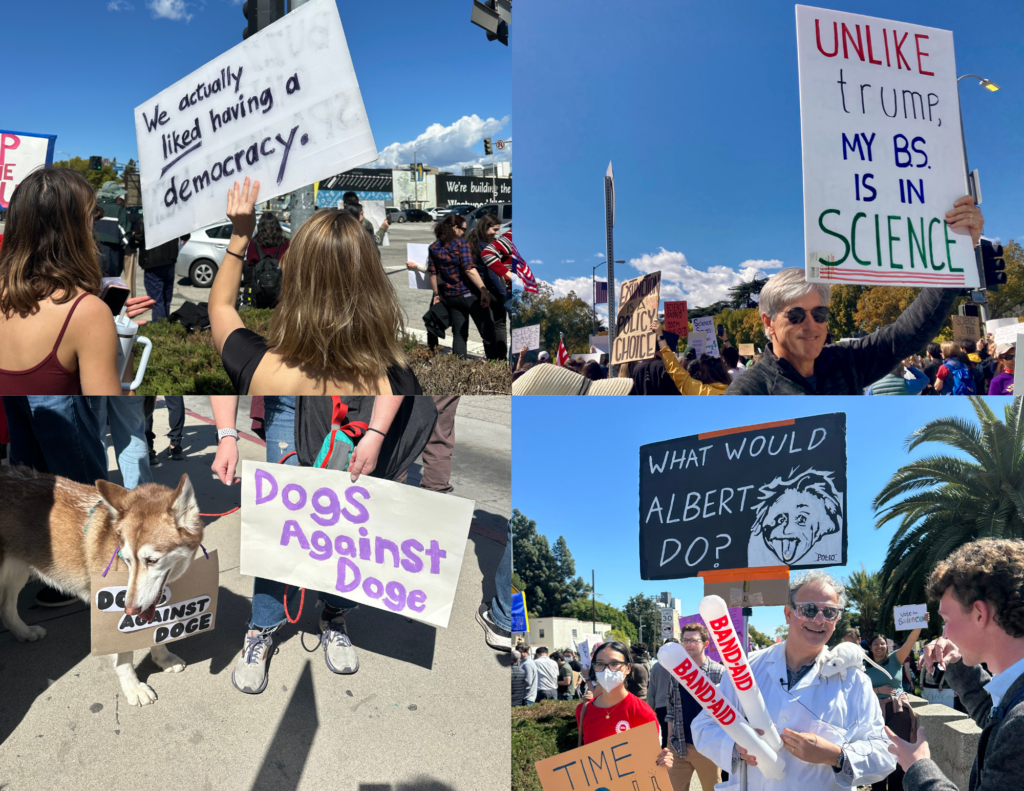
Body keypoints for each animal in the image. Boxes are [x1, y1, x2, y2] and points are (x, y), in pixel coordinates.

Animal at [0, 463, 205, 704]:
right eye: (127, 560)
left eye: (152, 560)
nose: (130, 609)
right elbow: (124, 658)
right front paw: (133, 687)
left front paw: (163, 658)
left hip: (18, 571)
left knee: (6, 610)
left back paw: (24, 632)